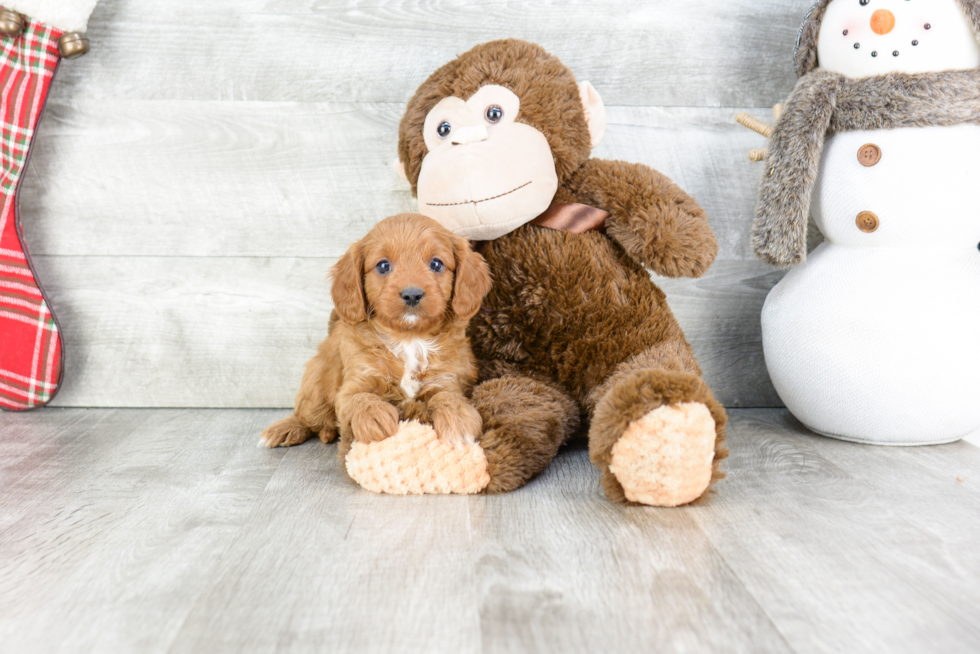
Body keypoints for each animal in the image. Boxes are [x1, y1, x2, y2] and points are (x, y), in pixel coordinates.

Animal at [258, 213, 490, 458]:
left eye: (436, 264)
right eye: (383, 266)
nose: (412, 294)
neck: (408, 339)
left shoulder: (446, 379)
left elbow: (448, 396)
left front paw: (458, 420)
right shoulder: (354, 383)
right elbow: (360, 397)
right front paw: (374, 418)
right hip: (316, 384)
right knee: (307, 416)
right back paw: (286, 428)